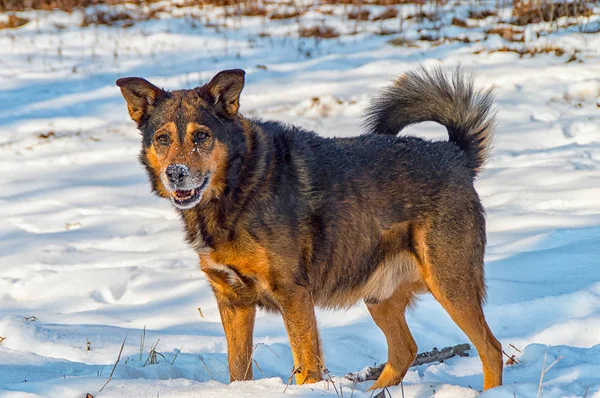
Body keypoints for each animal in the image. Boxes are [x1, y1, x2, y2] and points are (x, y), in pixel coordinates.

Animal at [116, 67, 502, 390]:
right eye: (162, 139)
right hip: (379, 294)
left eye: (201, 136)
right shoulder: (232, 300)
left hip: (450, 283)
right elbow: (238, 369)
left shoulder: (293, 294)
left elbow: (307, 365)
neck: (239, 186)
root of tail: (455, 154)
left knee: (491, 348)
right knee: (405, 349)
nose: (175, 173)